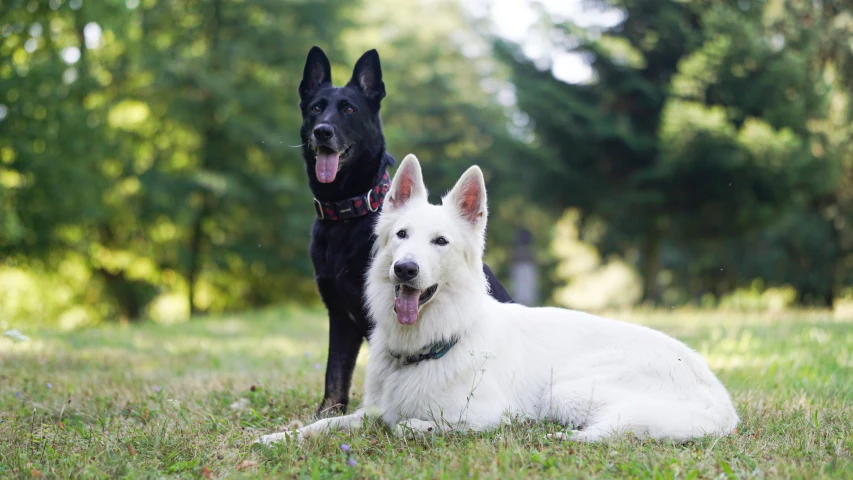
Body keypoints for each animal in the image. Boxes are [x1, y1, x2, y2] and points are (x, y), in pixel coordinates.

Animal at [256, 156, 736, 444]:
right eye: (402, 235)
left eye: (441, 242)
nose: (405, 269)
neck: (437, 338)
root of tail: (723, 405)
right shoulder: (372, 409)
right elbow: (328, 422)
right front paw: (277, 438)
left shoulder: (481, 416)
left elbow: (409, 426)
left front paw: (418, 426)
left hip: (565, 390)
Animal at [298, 46, 512, 416]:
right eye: (315, 108)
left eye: (349, 109)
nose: (322, 131)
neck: (347, 213)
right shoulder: (339, 315)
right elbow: (334, 376)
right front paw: (326, 414)